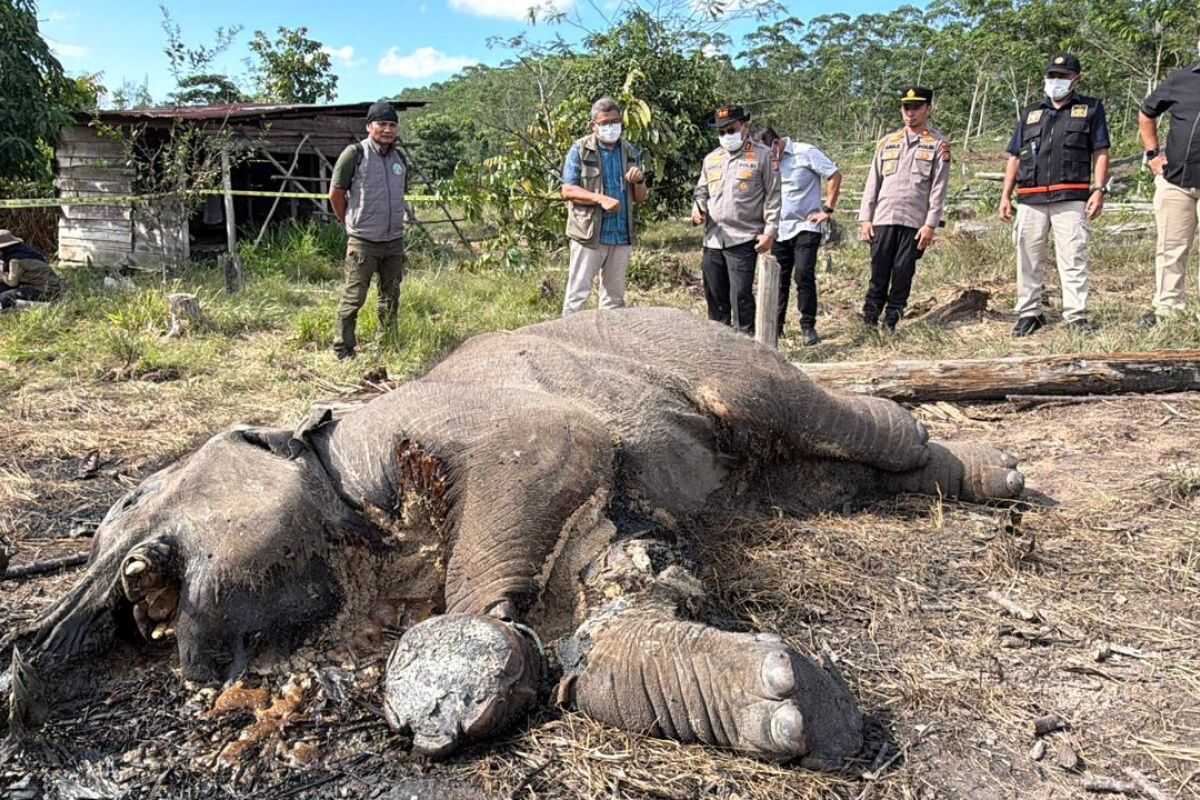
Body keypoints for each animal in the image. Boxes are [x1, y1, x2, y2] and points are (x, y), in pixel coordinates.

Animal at [0, 308, 1024, 772]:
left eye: (136, 497)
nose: (33, 647)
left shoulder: (459, 433)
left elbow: (546, 457)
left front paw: (473, 654)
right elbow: (609, 585)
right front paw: (779, 701)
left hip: (723, 360)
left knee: (833, 418)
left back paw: (995, 474)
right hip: (771, 470)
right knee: (828, 473)